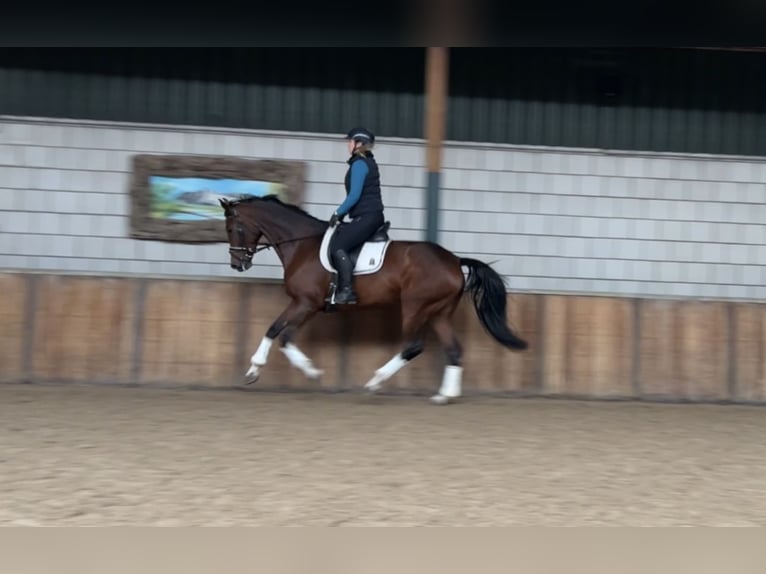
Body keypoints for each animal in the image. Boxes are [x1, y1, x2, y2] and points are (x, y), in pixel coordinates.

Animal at [218, 194, 528, 404]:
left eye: (232, 228)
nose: (237, 264)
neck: (302, 244)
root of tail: (454, 260)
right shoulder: (307, 305)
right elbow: (280, 333)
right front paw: (274, 371)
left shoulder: (305, 303)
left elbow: (279, 333)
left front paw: (289, 371)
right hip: (439, 312)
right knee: (454, 349)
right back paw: (444, 396)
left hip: (416, 306)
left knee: (413, 346)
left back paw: (375, 382)